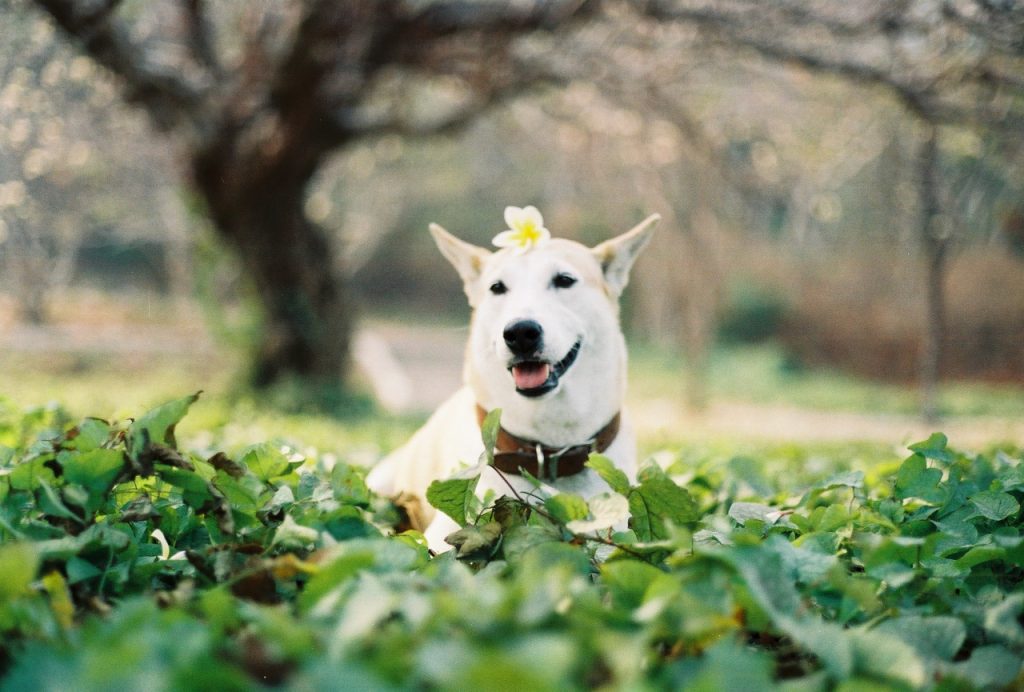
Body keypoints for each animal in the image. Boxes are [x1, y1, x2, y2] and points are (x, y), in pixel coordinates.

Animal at [364, 205, 659, 552]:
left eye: (564, 280)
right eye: (497, 288)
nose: (520, 333)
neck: (546, 457)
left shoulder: (613, 528)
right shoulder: (444, 534)